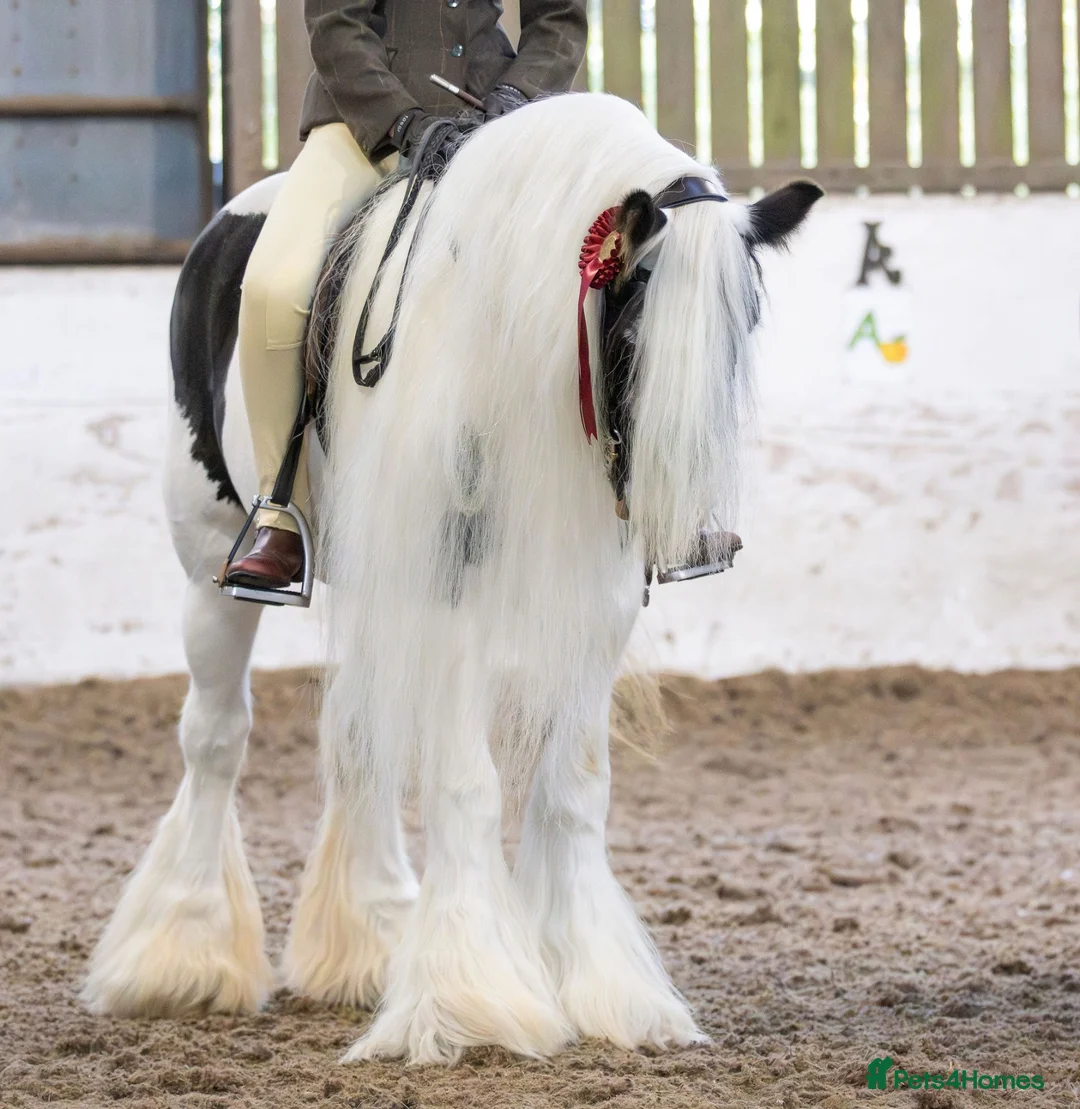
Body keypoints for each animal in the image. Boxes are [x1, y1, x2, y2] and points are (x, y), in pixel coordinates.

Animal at [81, 92, 821, 1064]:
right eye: (630, 330)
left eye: (743, 329)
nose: (686, 529)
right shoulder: (447, 580)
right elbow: (468, 783)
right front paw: (475, 1002)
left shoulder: (596, 601)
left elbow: (574, 786)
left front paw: (603, 990)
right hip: (211, 568)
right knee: (214, 739)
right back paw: (182, 956)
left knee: (357, 736)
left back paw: (368, 944)